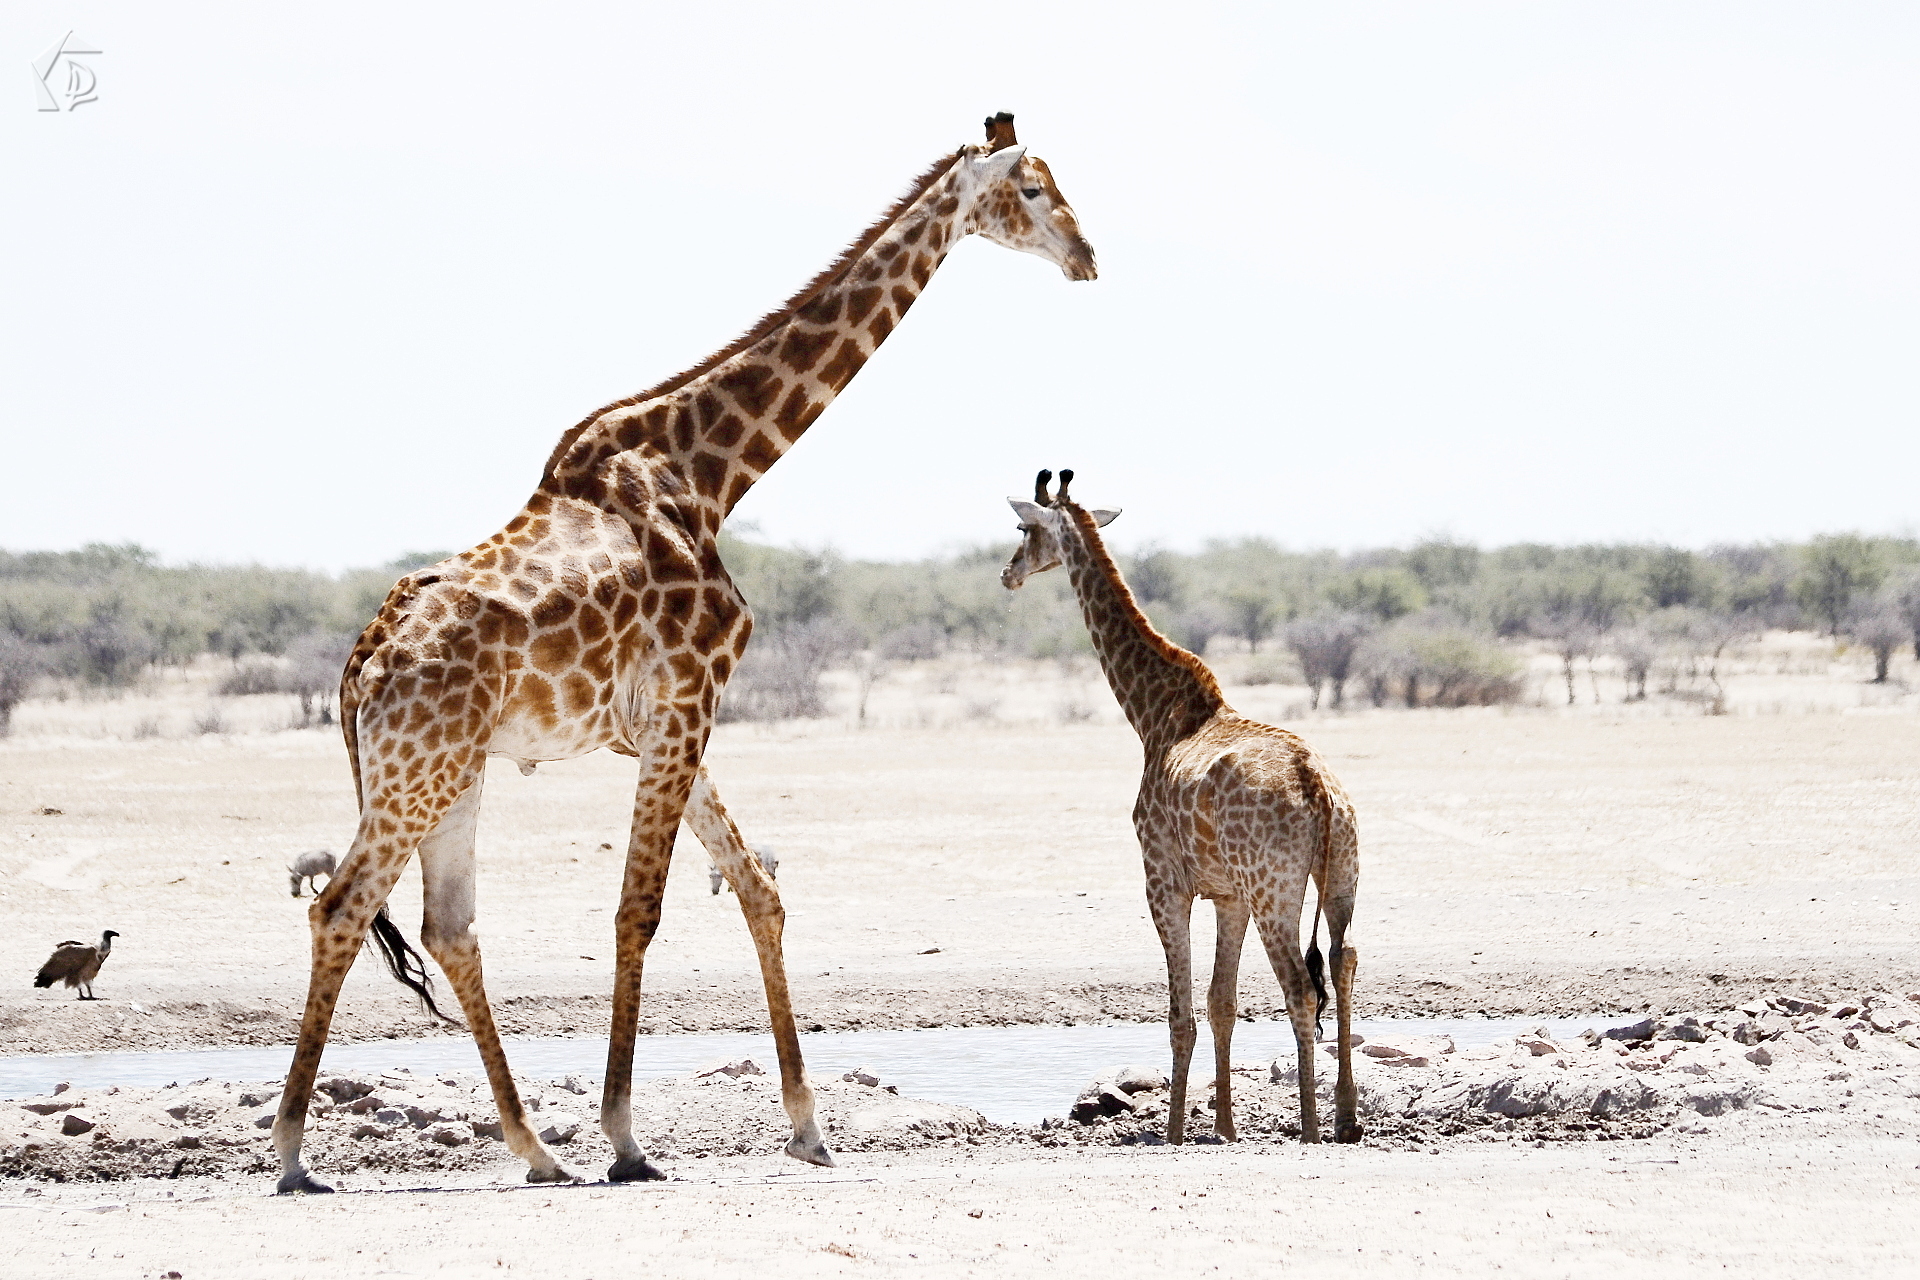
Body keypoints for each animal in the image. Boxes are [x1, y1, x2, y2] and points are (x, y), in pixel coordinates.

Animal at [270, 114, 1096, 1194]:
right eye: (1033, 189)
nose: (1087, 256)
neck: (712, 472)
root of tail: (361, 661)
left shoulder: (666, 720)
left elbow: (757, 888)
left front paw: (808, 1125)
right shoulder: (685, 702)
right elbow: (642, 908)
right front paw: (627, 1137)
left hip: (452, 768)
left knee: (449, 925)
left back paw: (536, 1149)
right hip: (420, 768)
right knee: (341, 906)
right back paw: (293, 1150)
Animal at [1000, 471, 1362, 1145]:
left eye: (1023, 528)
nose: (1007, 572)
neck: (1151, 714)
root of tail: (1318, 789)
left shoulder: (1164, 880)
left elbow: (1180, 1012)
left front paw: (1173, 1130)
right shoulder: (1227, 895)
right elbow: (1222, 1004)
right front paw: (1223, 1126)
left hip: (1276, 889)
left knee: (1301, 988)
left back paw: (1310, 1126)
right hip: (1341, 878)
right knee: (1345, 962)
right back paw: (1347, 1118)